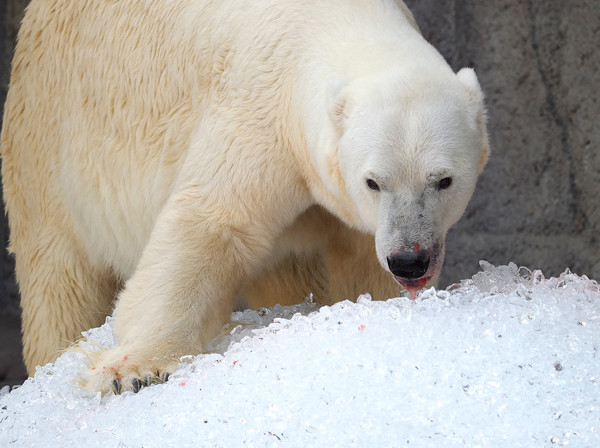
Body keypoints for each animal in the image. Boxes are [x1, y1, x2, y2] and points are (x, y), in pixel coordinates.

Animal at [1, 0, 488, 392]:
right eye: (374, 182)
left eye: (443, 180)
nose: (410, 260)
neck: (342, 24)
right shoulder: (258, 107)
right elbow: (212, 223)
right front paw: (134, 370)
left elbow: (358, 257)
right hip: (45, 144)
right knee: (59, 279)